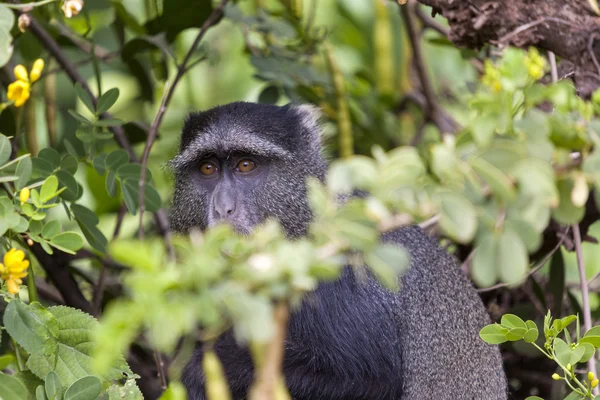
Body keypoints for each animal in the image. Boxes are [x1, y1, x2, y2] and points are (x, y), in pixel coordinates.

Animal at [169, 101, 506, 398]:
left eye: (246, 165)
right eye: (208, 168)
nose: (223, 208)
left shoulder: (344, 280)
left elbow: (373, 378)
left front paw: (204, 370)